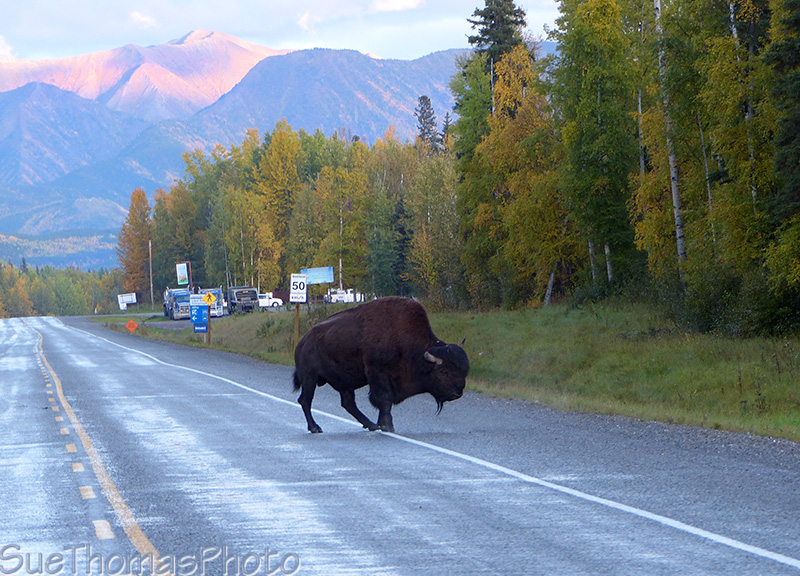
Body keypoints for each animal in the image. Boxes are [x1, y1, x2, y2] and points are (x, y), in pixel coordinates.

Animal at [292, 296, 469, 433]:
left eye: (464, 371)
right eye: (444, 371)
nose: (457, 393)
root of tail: (303, 342)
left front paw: (381, 424)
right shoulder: (378, 374)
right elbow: (384, 400)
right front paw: (387, 426)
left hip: (343, 382)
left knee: (348, 403)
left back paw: (371, 425)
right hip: (310, 377)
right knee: (305, 400)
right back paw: (315, 427)